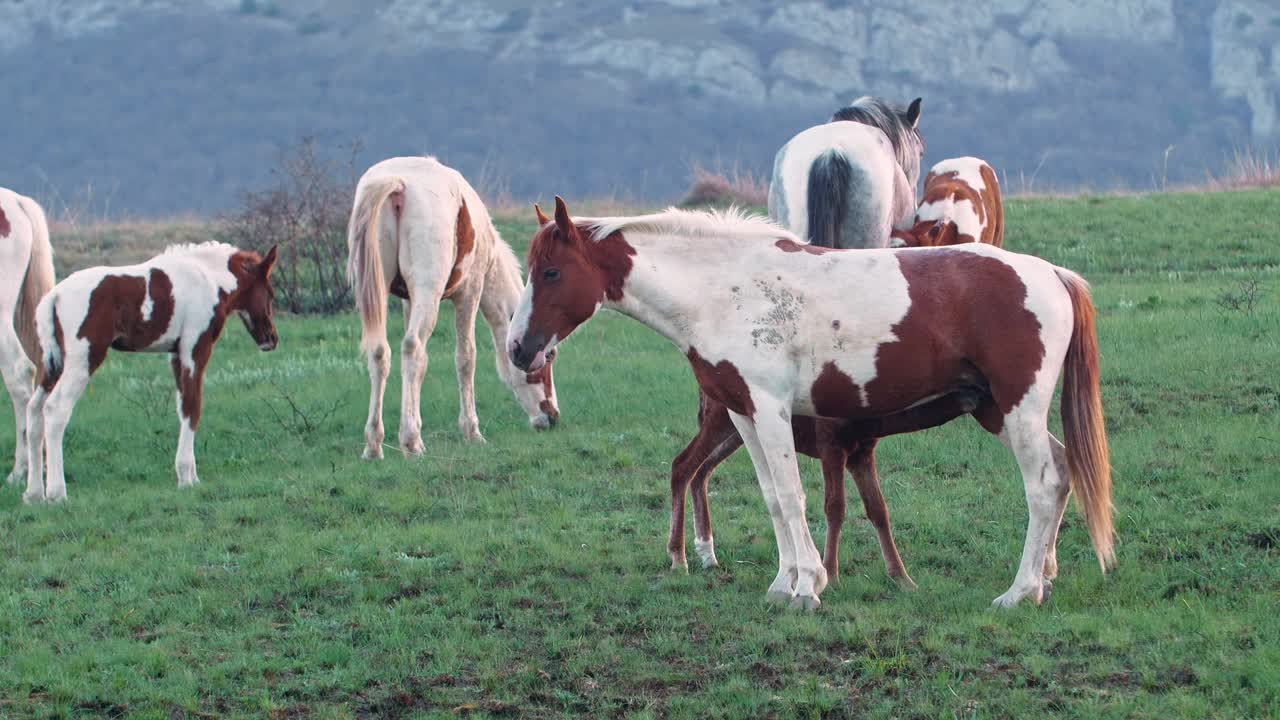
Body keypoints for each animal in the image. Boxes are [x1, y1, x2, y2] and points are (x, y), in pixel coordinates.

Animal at [22, 240, 279, 499]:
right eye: (270, 292)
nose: (271, 338)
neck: (208, 277)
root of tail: (54, 296)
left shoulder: (176, 355)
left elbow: (183, 408)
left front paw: (192, 477)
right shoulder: (195, 349)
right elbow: (193, 407)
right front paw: (185, 479)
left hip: (52, 365)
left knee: (34, 410)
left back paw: (34, 493)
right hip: (83, 361)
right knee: (55, 409)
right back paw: (56, 492)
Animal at [345, 156, 560, 458]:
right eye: (549, 355)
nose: (552, 417)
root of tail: (398, 184)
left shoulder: (409, 300)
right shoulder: (469, 291)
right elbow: (466, 358)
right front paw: (471, 431)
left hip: (381, 293)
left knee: (381, 353)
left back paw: (374, 444)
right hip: (429, 292)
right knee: (412, 348)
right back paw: (411, 441)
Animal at [506, 198, 1111, 607]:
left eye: (551, 271)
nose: (518, 349)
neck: (722, 291)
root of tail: (1051, 274)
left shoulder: (772, 412)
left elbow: (795, 496)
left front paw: (808, 589)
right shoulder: (744, 414)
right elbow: (774, 498)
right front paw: (784, 583)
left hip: (1018, 410)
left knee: (1044, 485)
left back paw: (1019, 591)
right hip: (996, 412)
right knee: (1062, 471)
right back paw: (1044, 579)